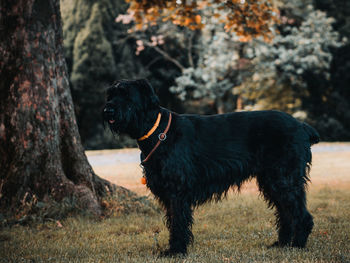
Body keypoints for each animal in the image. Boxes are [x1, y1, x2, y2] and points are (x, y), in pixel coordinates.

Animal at [102, 79, 320, 256]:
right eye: (111, 94)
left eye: (126, 95)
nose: (107, 111)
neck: (157, 131)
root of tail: (301, 126)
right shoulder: (168, 192)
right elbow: (173, 221)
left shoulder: (177, 191)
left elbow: (178, 222)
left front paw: (176, 251)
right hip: (271, 181)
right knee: (285, 213)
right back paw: (282, 244)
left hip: (284, 179)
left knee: (301, 215)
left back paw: (297, 245)